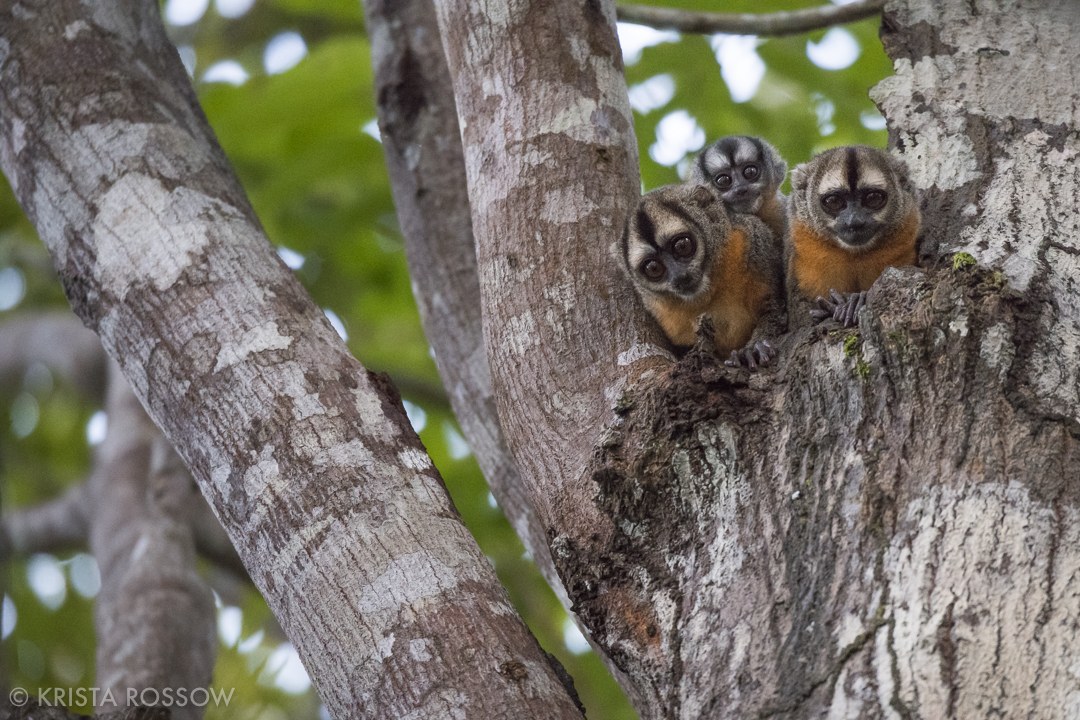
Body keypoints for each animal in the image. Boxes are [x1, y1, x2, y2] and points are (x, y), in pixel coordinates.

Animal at [620, 183, 786, 368]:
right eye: (653, 268)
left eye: (682, 246)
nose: (680, 276)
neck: (710, 287)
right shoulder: (662, 311)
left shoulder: (751, 240)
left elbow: (773, 308)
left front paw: (753, 349)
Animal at [785, 145, 921, 328]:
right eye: (834, 201)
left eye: (873, 198)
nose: (854, 221)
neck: (854, 254)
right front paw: (837, 307)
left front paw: (854, 302)